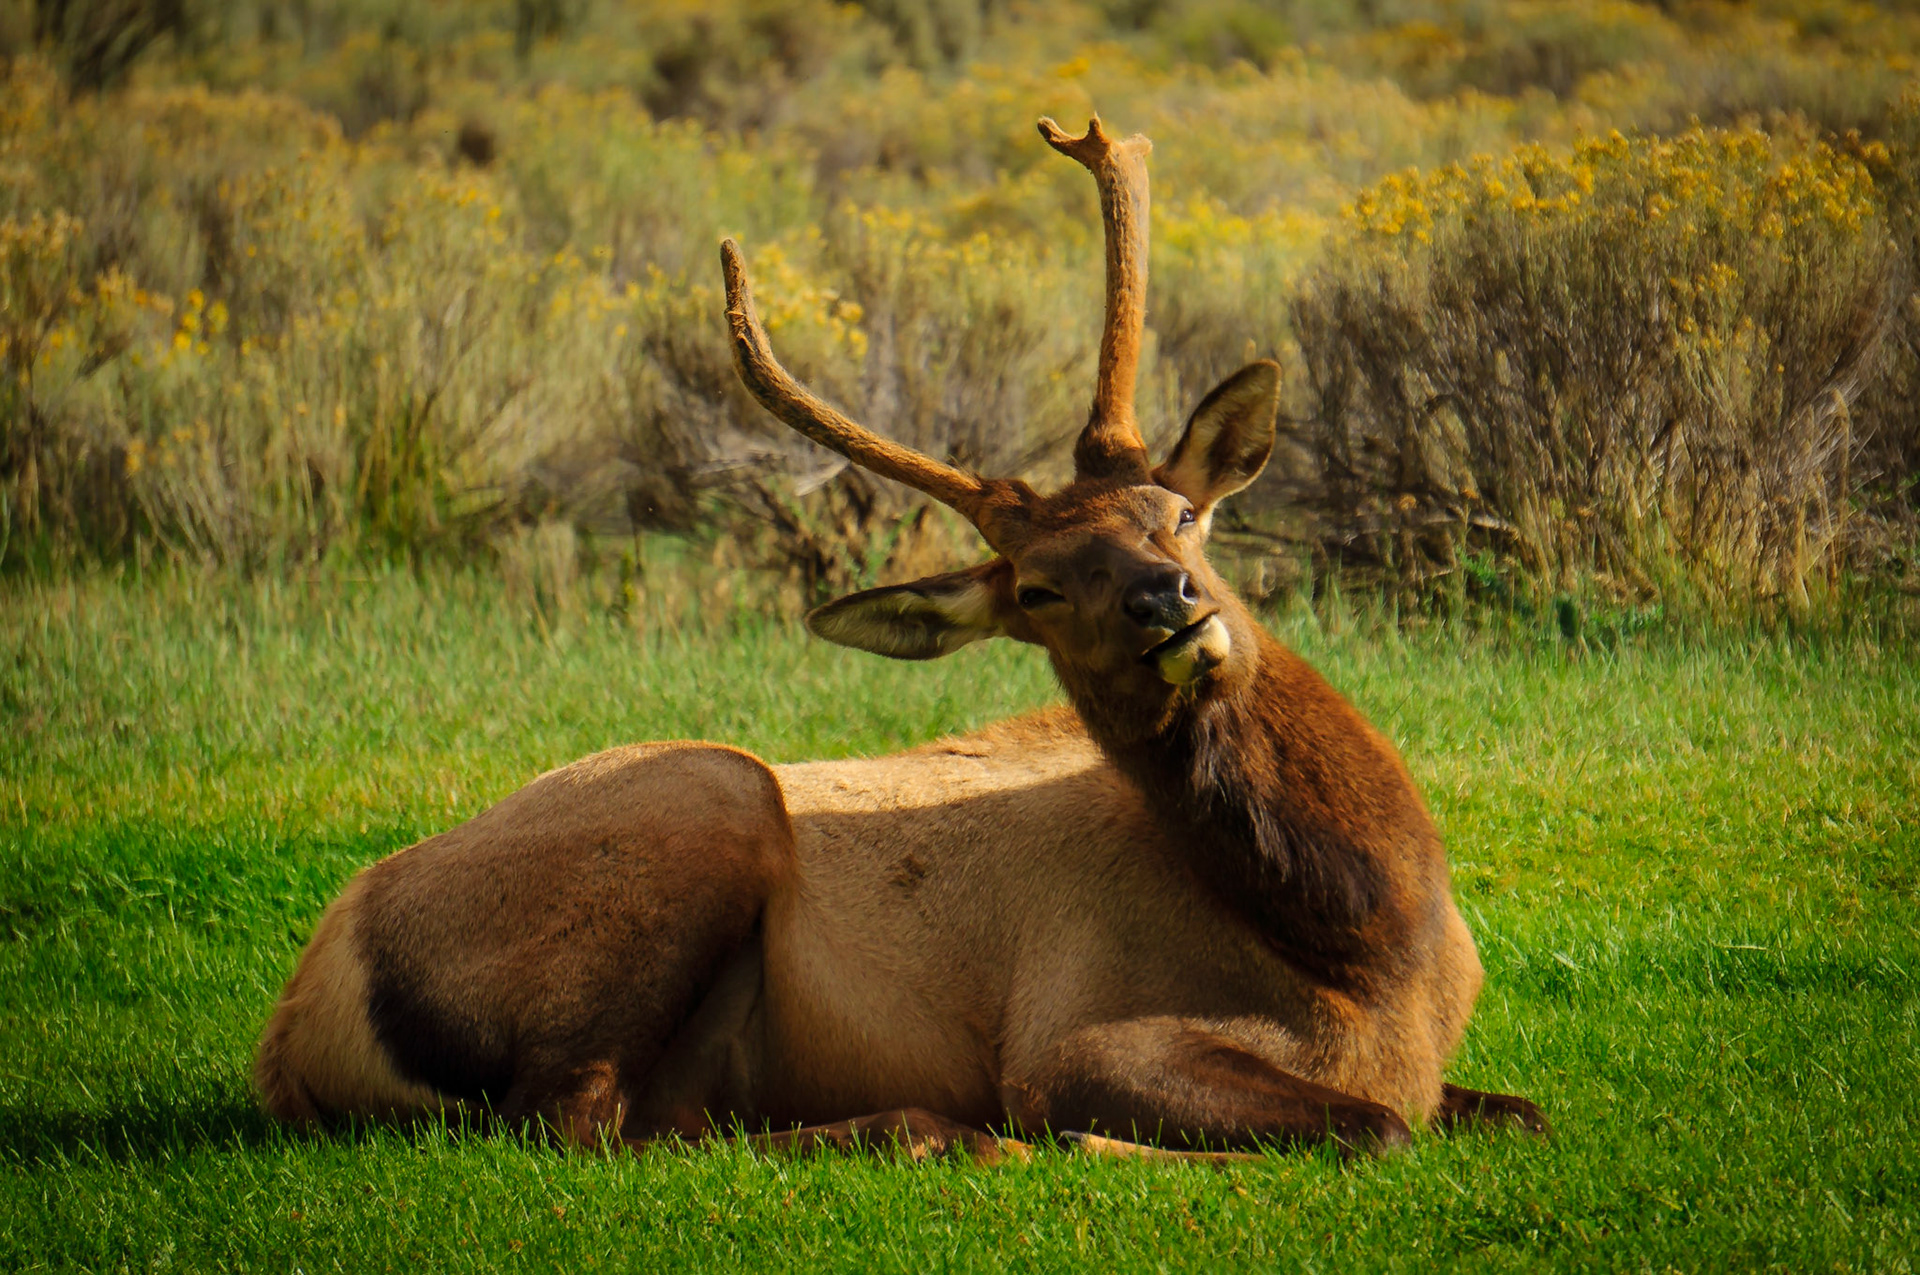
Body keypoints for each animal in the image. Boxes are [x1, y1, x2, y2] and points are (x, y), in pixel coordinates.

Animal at [253, 117, 1546, 1164]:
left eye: (1179, 514)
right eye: (1037, 589)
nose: (1168, 603)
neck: (1373, 955)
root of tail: (298, 1018)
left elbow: (1515, 1108)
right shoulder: (1073, 1037)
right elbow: (1373, 1129)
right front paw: (1093, 1146)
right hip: (705, 804)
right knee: (574, 1115)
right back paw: (928, 1132)